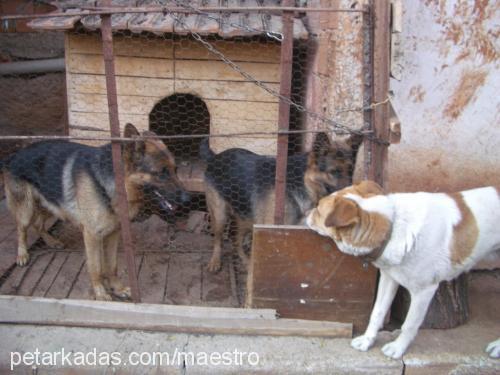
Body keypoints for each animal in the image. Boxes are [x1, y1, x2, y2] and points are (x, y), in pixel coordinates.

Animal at [304, 182, 500, 362]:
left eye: (318, 209)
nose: (305, 214)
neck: (393, 226)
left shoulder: (424, 291)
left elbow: (409, 324)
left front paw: (397, 348)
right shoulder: (389, 278)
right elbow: (377, 312)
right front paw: (367, 340)